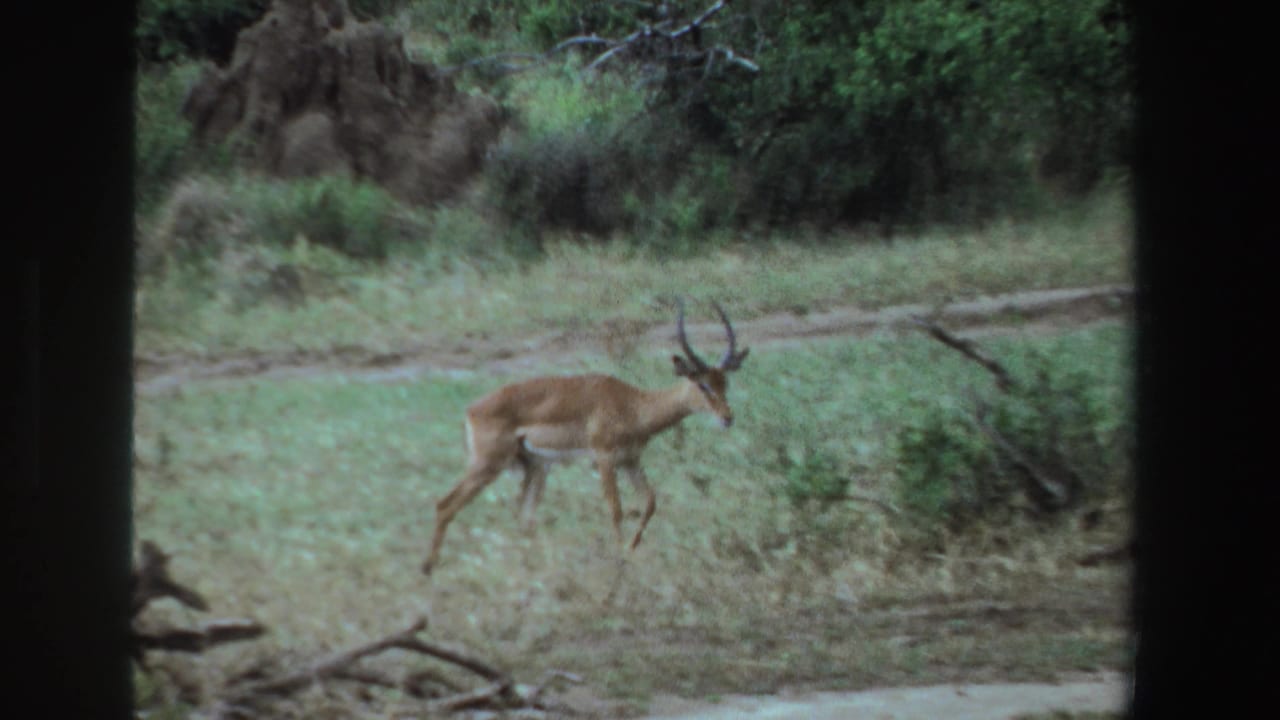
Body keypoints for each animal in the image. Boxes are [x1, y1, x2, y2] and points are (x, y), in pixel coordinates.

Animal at [422, 301, 750, 575]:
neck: (633, 405)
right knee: (444, 504)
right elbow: (616, 511)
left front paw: (631, 552)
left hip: (536, 467)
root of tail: (471, 410)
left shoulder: (631, 460)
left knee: (522, 517)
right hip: (488, 465)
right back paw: (428, 568)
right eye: (702, 384)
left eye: (725, 382)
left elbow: (650, 503)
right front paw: (620, 559)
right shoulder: (603, 459)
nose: (727, 418)